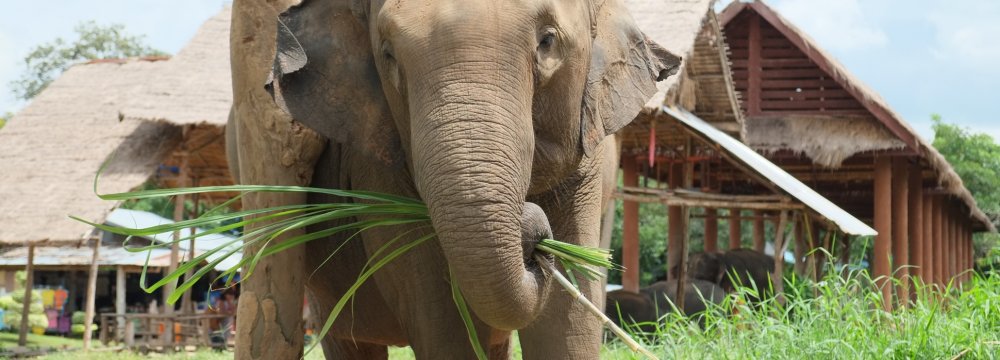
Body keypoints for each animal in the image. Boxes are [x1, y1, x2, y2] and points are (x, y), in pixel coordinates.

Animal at [227, 0, 680, 360]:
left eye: (548, 41)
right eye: (388, 54)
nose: (531, 234)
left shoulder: (589, 157)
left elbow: (569, 317)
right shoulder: (378, 164)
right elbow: (438, 309)